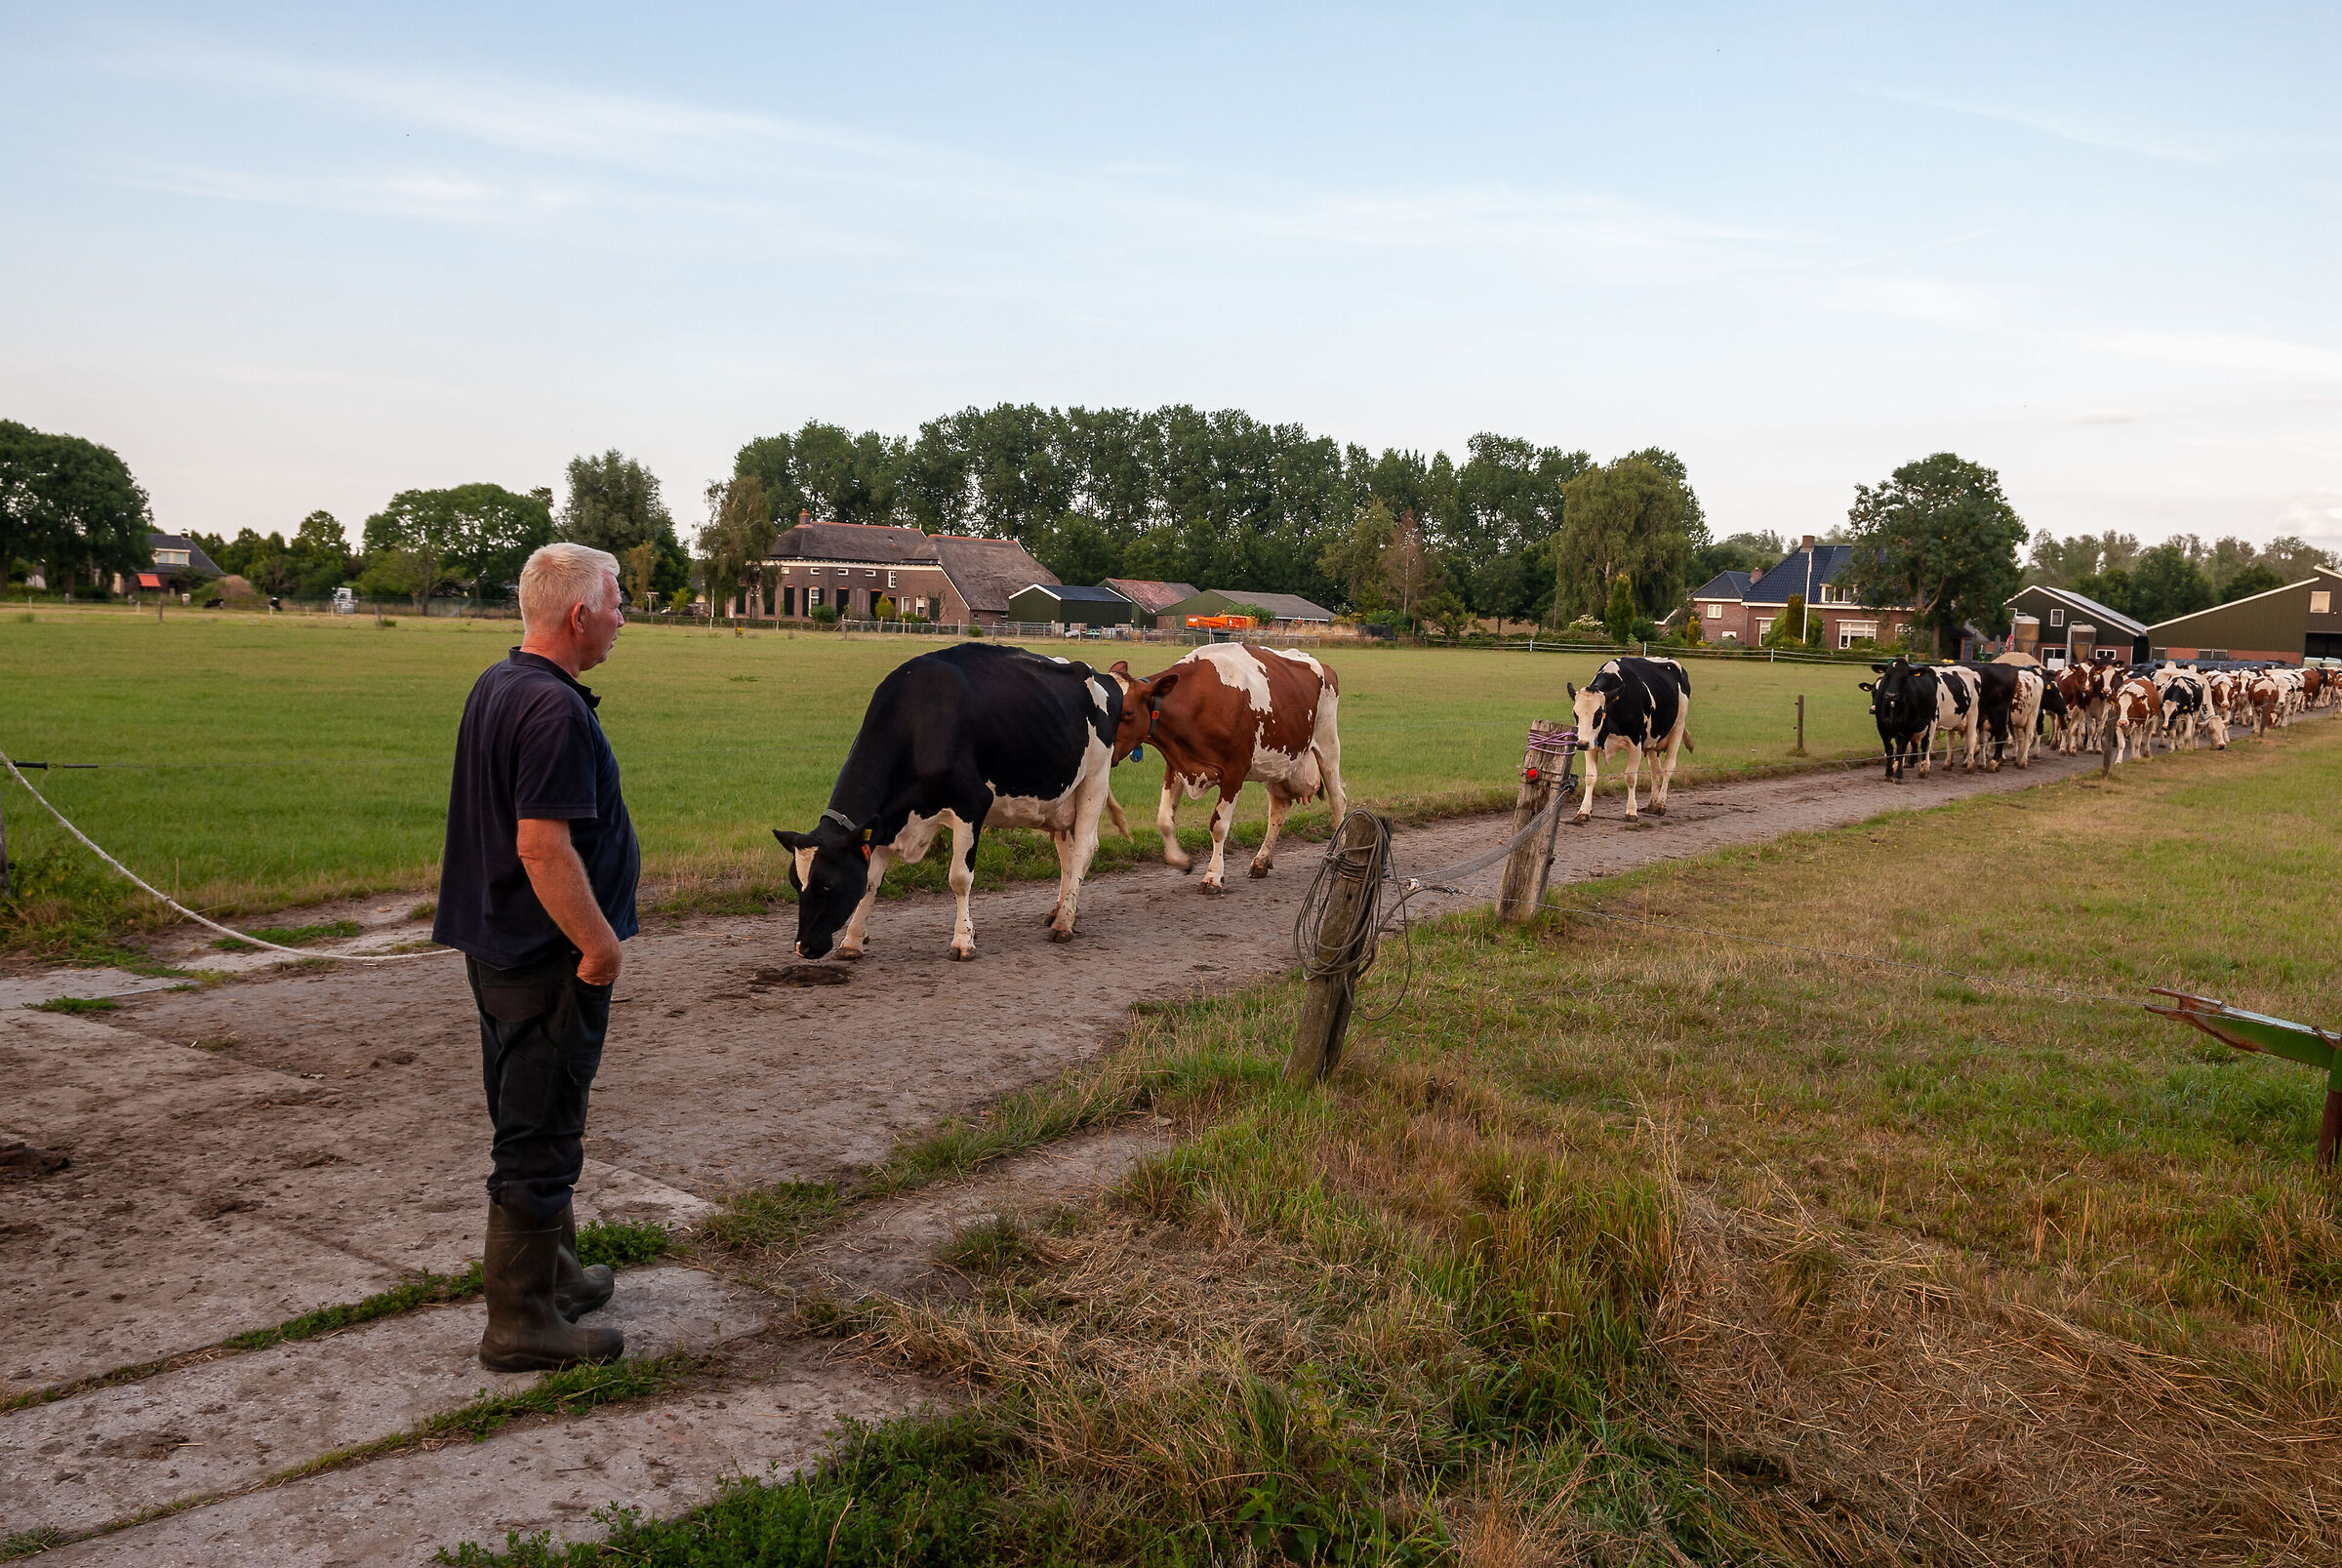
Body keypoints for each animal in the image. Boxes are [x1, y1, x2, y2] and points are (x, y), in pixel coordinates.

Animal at [772, 643, 1123, 962]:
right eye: (794, 882)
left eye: (829, 884)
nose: (804, 947)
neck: (918, 721)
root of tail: (1098, 674)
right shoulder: (885, 820)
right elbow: (870, 883)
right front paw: (853, 941)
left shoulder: (972, 803)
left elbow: (959, 878)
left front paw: (963, 941)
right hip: (1059, 802)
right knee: (1067, 853)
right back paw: (1062, 910)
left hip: (1093, 781)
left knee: (1083, 849)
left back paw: (1064, 922)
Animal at [1105, 644, 1345, 893]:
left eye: (1128, 712)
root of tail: (1321, 665)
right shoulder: (1176, 764)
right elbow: (1164, 820)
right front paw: (1181, 860)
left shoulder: (1234, 772)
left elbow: (1219, 826)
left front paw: (1213, 876)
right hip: (1275, 761)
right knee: (1279, 808)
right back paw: (1261, 860)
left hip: (1328, 744)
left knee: (1338, 799)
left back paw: (1340, 855)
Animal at [1567, 656, 1693, 822]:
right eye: (1575, 714)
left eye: (1599, 714)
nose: (1581, 744)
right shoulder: (1592, 743)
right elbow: (1590, 777)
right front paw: (1583, 811)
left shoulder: (1635, 743)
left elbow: (1631, 777)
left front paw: (1631, 811)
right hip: (1652, 742)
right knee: (1655, 771)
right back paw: (1652, 804)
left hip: (1678, 727)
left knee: (1668, 768)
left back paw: (1660, 805)